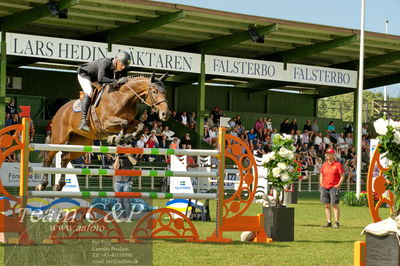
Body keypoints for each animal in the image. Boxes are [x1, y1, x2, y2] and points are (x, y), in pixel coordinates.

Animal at [36, 72, 170, 191]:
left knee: (64, 158)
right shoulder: (106, 123)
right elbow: (124, 123)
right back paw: (42, 185)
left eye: (165, 92)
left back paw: (59, 185)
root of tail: (60, 111)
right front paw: (116, 138)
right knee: (48, 158)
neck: (123, 98)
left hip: (81, 143)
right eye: (154, 91)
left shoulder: (132, 122)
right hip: (59, 139)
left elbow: (140, 126)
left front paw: (126, 138)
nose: (165, 114)